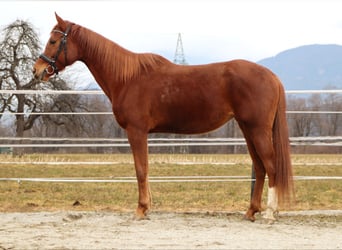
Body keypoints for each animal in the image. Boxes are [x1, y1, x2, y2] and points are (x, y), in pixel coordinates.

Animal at [34, 13, 294, 221]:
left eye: (53, 41)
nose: (37, 71)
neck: (127, 78)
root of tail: (272, 76)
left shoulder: (136, 131)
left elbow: (140, 170)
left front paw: (141, 210)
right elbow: (146, 169)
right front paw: (147, 207)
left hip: (257, 129)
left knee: (271, 166)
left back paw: (270, 213)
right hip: (247, 129)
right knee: (260, 168)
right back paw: (251, 212)